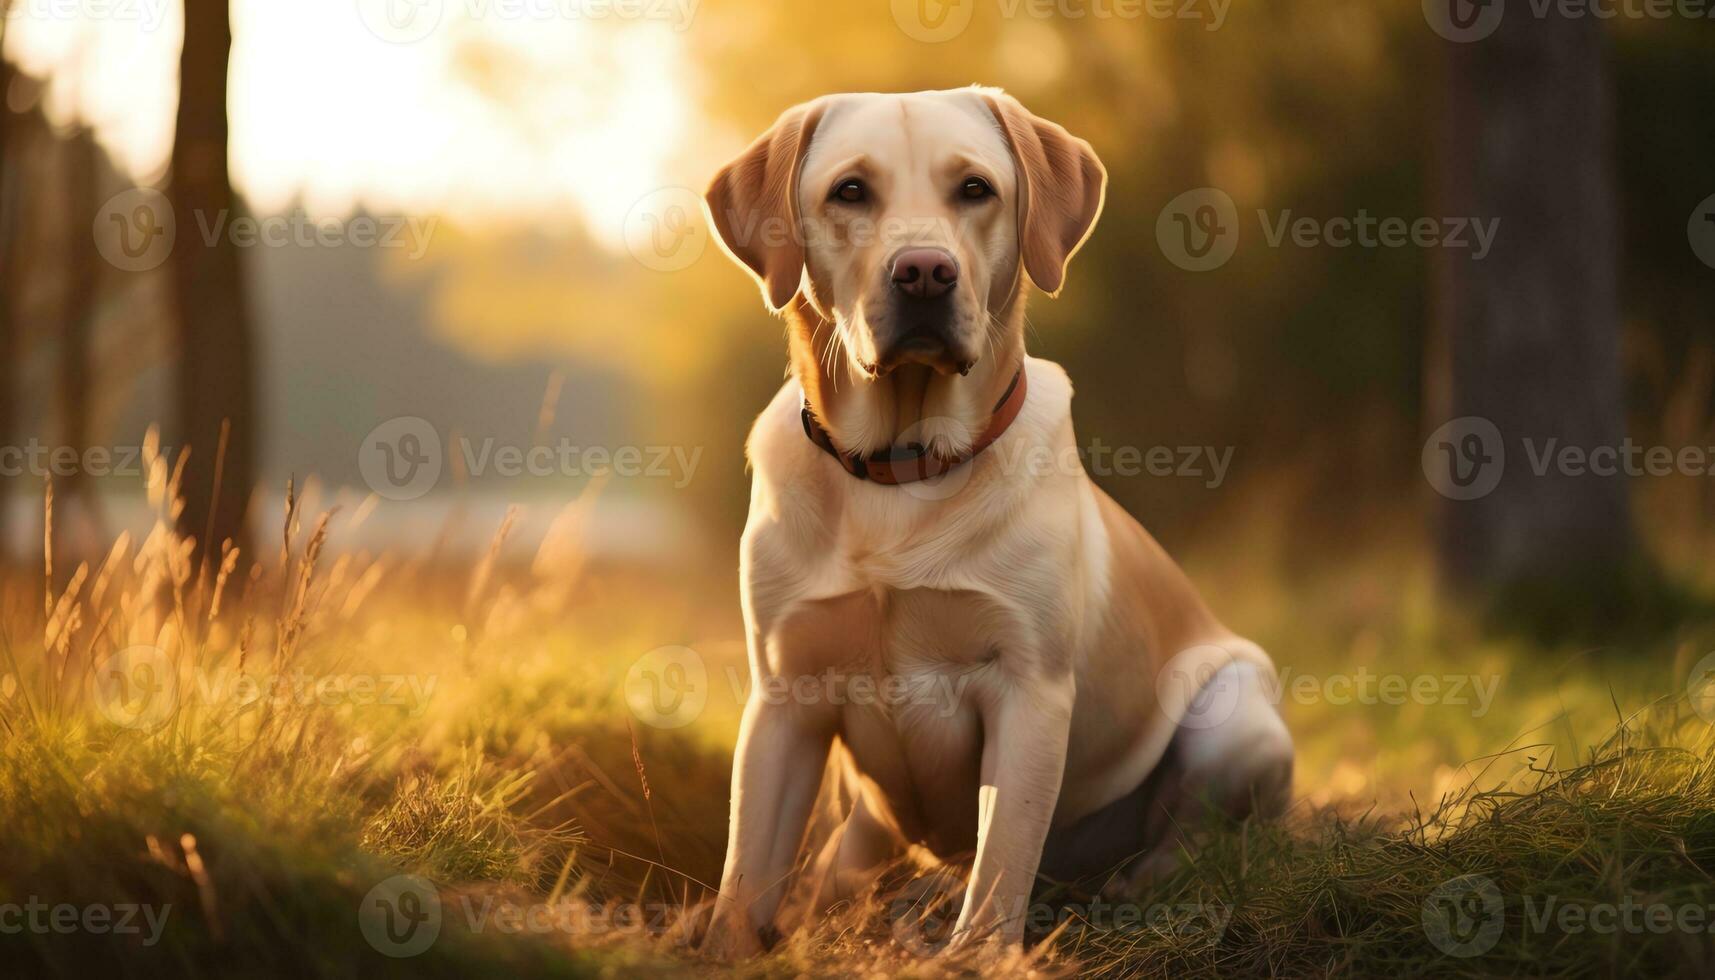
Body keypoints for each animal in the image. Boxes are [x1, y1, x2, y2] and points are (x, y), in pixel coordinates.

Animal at [696, 86, 1289, 961]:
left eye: (974, 189)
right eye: (849, 191)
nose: (924, 272)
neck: (899, 466)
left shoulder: (1027, 691)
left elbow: (1001, 861)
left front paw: (974, 959)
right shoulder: (783, 697)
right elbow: (745, 872)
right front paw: (725, 950)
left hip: (1237, 714)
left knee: (1194, 841)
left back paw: (1135, 888)